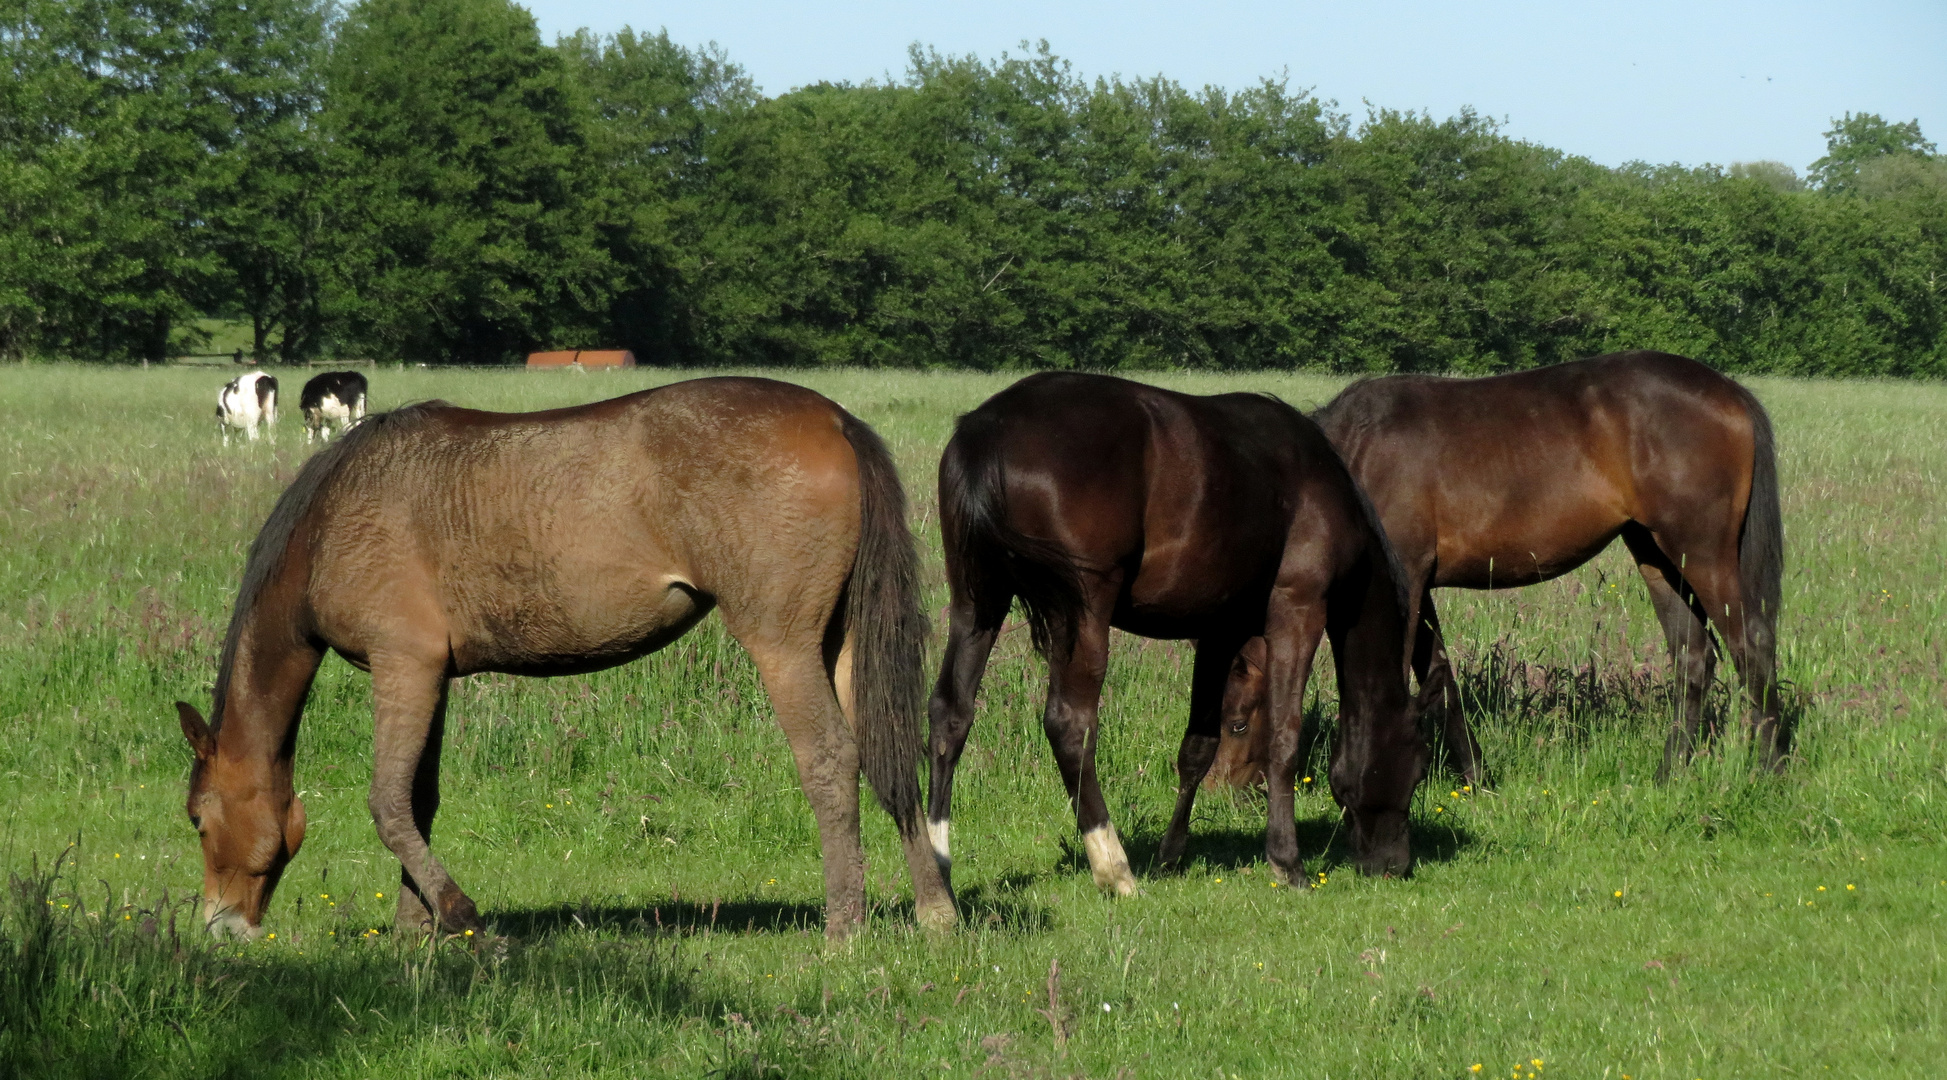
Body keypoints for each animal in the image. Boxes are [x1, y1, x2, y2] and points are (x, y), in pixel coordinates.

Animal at [175, 377, 950, 937]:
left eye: (197, 819)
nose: (219, 926)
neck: (331, 521)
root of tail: (836, 419)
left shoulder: (403, 666)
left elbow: (388, 804)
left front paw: (457, 915)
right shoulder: (431, 675)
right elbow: (418, 801)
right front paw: (412, 933)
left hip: (781, 644)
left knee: (829, 759)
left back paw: (844, 925)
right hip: (841, 641)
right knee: (886, 748)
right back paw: (935, 909)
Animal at [926, 373, 1432, 895]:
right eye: (1418, 770)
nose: (1393, 864)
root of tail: (988, 432)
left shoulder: (1220, 632)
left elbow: (1198, 746)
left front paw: (1171, 854)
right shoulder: (1298, 612)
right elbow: (1284, 739)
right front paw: (1286, 861)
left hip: (977, 603)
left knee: (951, 713)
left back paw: (937, 874)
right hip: (1082, 613)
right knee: (1069, 725)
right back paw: (1114, 867)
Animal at [1207, 352, 1783, 786]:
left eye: (1235, 724)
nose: (1219, 792)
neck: (1358, 454)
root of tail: (1729, 390)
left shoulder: (1404, 578)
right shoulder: (1419, 586)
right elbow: (1440, 677)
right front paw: (1475, 776)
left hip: (1702, 552)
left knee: (1751, 645)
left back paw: (1768, 769)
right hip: (1658, 556)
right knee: (1693, 656)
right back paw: (1669, 774)